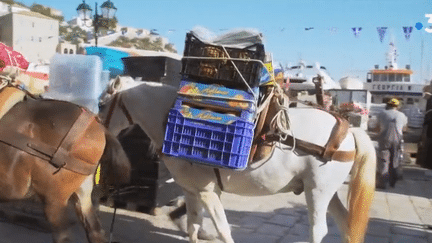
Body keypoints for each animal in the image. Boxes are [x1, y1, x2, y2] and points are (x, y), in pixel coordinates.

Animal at [99, 76, 376, 243]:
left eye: (102, 104)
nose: (98, 131)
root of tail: (348, 129)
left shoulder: (207, 192)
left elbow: (223, 229)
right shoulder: (192, 191)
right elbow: (193, 226)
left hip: (317, 191)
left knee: (319, 229)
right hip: (326, 192)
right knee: (346, 223)